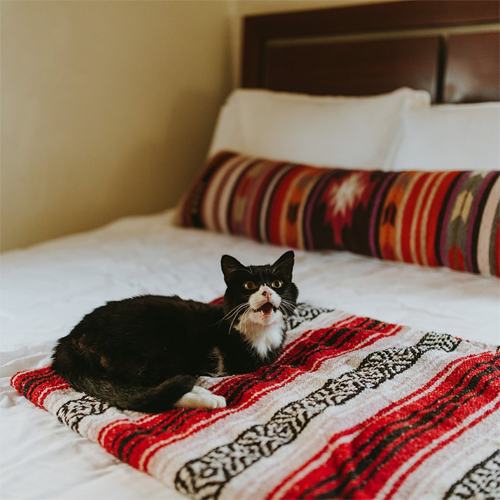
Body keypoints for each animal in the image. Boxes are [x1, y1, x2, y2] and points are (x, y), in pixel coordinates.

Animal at [52, 252, 298, 412]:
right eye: (249, 286)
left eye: (277, 283)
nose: (266, 292)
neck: (260, 334)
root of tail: (71, 338)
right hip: (150, 348)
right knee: (145, 389)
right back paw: (207, 399)